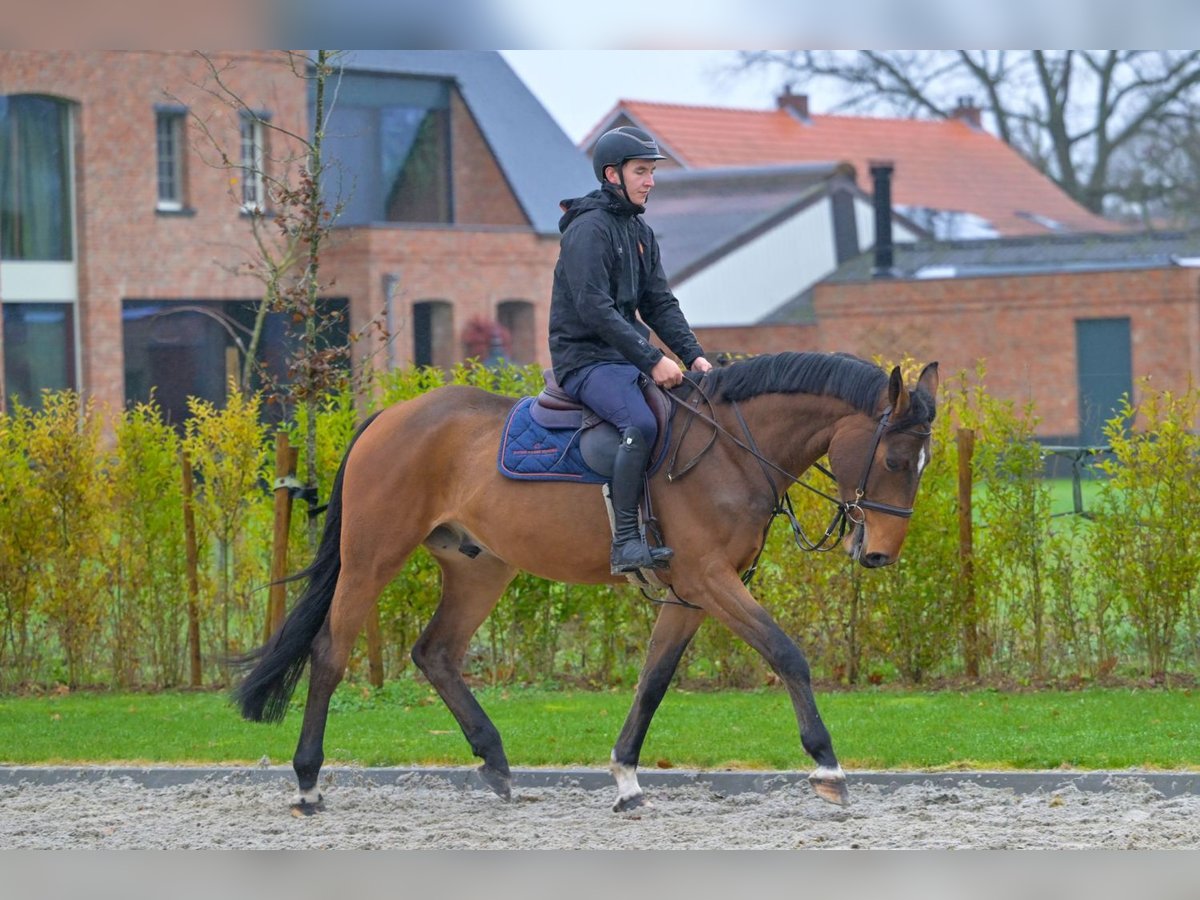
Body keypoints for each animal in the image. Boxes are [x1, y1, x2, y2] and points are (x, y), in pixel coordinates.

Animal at [234, 348, 940, 816]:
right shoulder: (712, 580)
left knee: (436, 652)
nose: (879, 554)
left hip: (480, 566)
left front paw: (626, 776)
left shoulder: (692, 593)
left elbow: (654, 681)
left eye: (920, 465)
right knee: (330, 653)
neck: (733, 451)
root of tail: (392, 414)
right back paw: (307, 781)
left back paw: (497, 764)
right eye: (894, 458)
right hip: (372, 558)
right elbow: (787, 654)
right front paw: (827, 765)